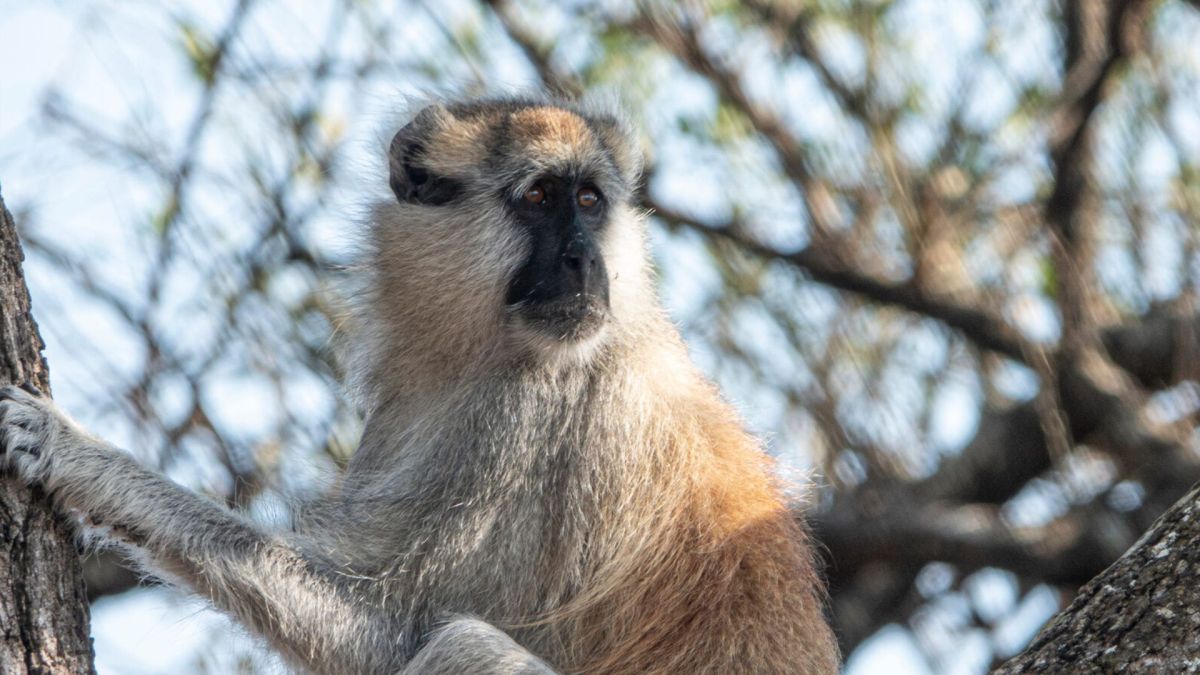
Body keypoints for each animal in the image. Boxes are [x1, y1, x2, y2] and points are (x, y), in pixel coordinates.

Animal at [0, 95, 840, 674]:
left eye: (590, 201)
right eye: (542, 197)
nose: (583, 261)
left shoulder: (528, 415)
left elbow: (383, 628)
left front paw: (75, 454)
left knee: (466, 644)